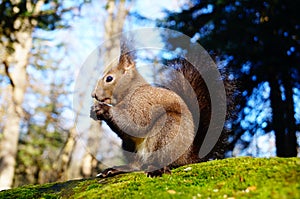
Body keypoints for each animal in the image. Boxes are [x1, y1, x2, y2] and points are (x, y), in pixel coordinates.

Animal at [90, 45, 233, 177]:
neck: (130, 90)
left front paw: (104, 109)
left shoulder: (142, 103)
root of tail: (190, 157)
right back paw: (118, 169)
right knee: (137, 165)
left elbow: (135, 123)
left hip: (168, 131)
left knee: (163, 160)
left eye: (109, 78)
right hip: (130, 147)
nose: (94, 95)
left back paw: (157, 169)